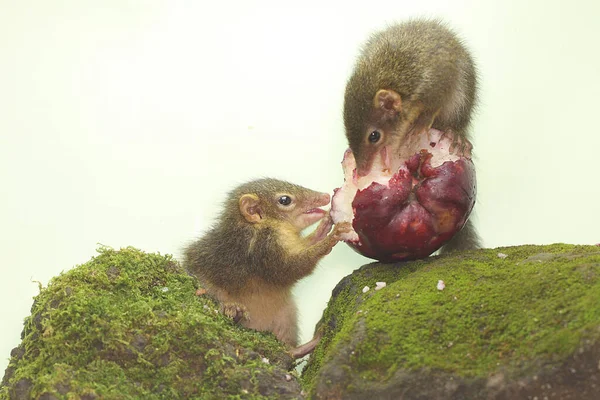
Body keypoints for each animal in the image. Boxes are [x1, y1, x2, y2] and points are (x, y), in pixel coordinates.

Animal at [184, 179, 352, 354]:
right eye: (285, 200)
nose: (326, 196)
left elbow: (307, 244)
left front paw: (324, 226)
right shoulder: (265, 250)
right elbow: (296, 267)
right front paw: (331, 237)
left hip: (286, 316)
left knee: (288, 351)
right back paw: (233, 309)